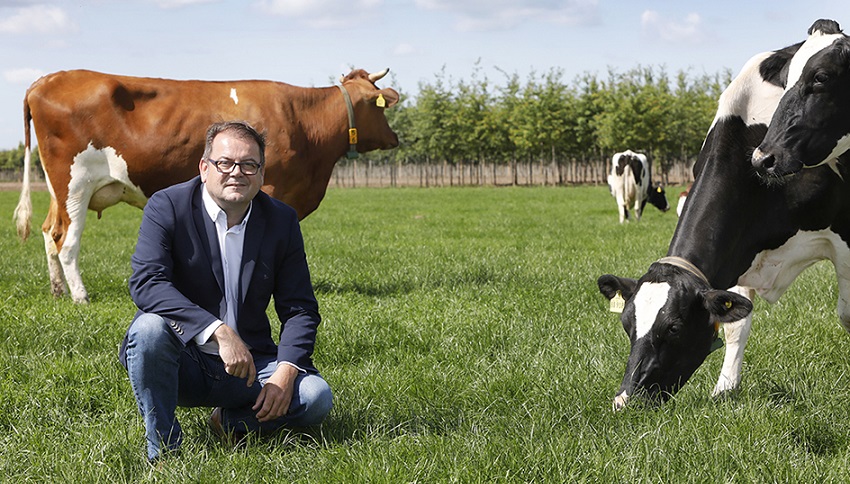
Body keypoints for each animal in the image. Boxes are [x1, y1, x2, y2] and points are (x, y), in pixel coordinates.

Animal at [12, 68, 398, 302]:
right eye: (380, 107)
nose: (395, 138)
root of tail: (46, 80)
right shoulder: (273, 190)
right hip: (74, 184)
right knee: (66, 241)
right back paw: (80, 296)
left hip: (58, 190)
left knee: (49, 231)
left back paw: (58, 290)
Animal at [596, 19, 848, 412]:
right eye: (626, 324)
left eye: (674, 327)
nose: (626, 400)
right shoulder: (741, 248)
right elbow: (736, 325)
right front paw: (725, 389)